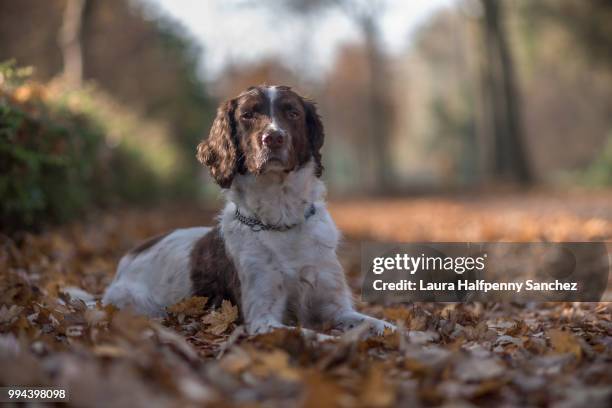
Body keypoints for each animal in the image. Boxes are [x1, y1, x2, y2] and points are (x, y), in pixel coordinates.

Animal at [102, 84, 394, 336]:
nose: (273, 138)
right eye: (247, 115)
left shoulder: (335, 306)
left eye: (293, 112)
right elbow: (317, 337)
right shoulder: (263, 318)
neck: (281, 220)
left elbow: (383, 326)